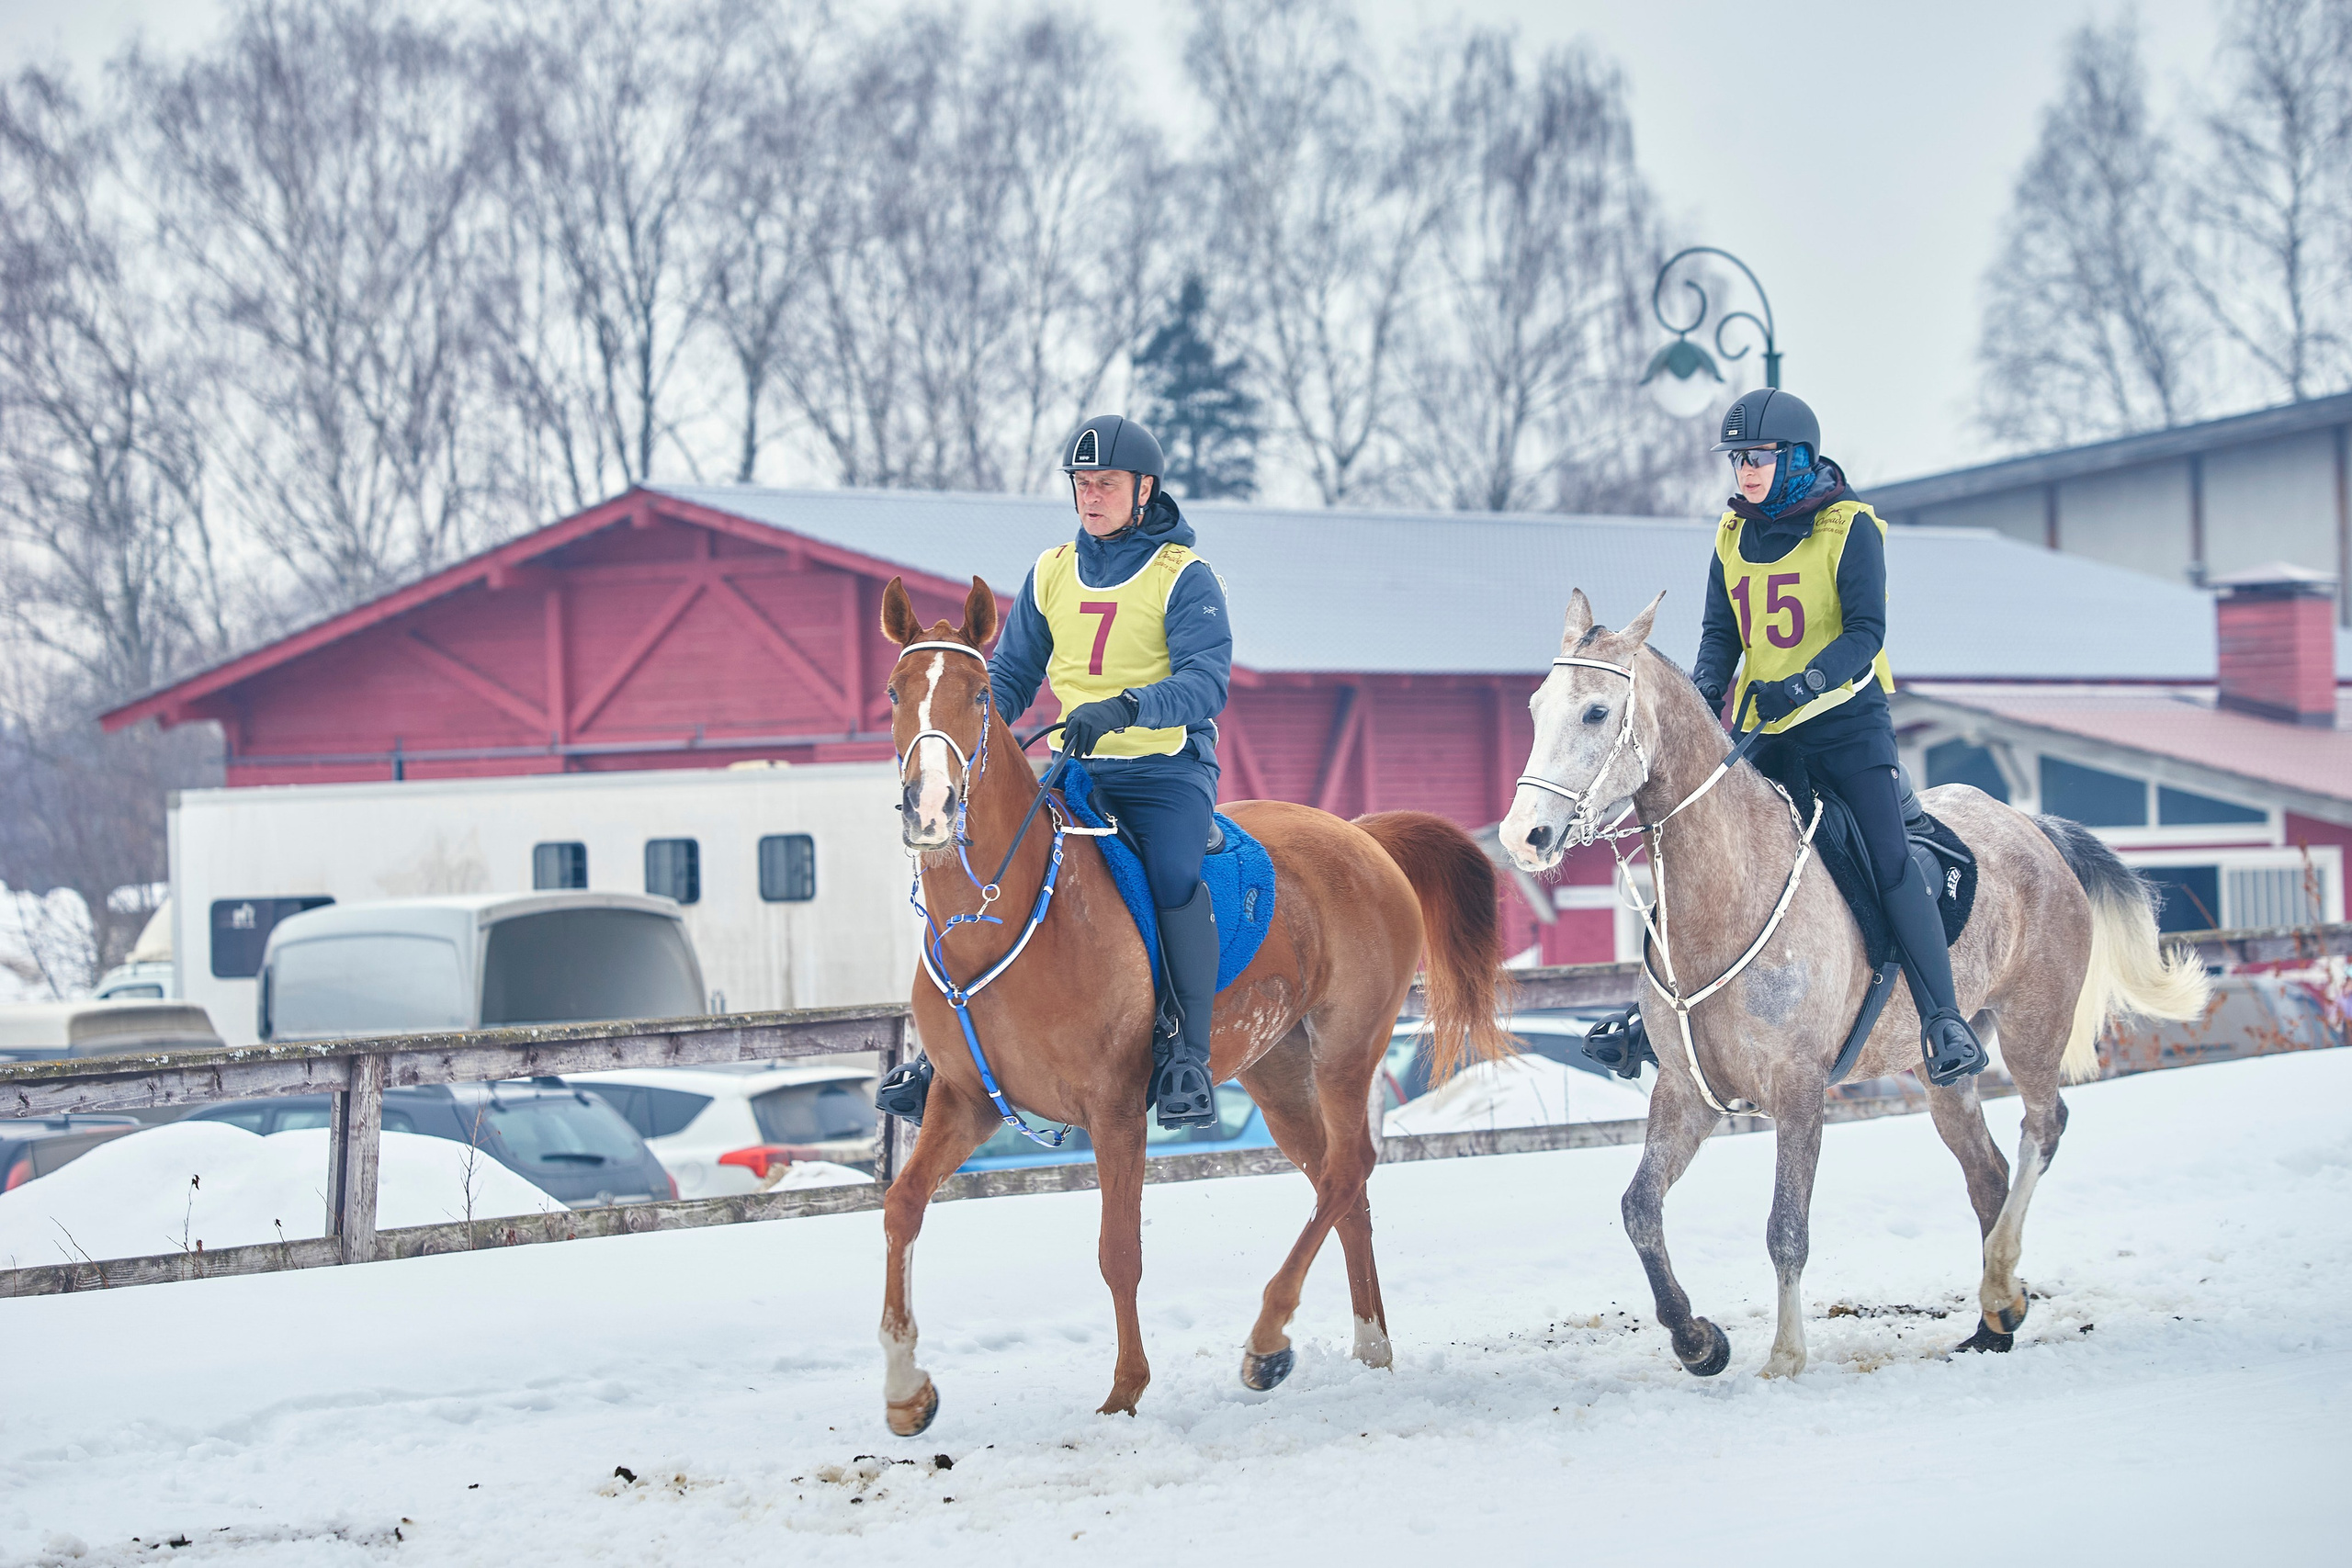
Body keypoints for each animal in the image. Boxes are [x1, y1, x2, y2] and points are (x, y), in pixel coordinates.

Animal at [874, 575, 1515, 1433]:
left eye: (977, 696)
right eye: (895, 691)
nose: (931, 807)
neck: (999, 918)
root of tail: (1362, 835)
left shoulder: (1114, 1108)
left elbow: (1119, 1251)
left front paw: (1125, 1389)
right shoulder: (966, 1099)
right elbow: (902, 1205)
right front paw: (906, 1389)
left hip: (1346, 1051)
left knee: (1349, 1167)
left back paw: (1268, 1337)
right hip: (1279, 1071)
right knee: (1339, 1184)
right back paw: (1369, 1345)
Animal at [1499, 589, 2209, 1378]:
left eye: (1596, 711)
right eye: (1535, 707)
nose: (1522, 836)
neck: (1724, 892)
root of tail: (2035, 827)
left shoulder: (1799, 1089)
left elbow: (1786, 1226)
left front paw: (1784, 1356)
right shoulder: (1686, 1091)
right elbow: (1639, 1209)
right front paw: (1698, 1340)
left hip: (2034, 1023)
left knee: (2042, 1129)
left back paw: (2001, 1282)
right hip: (1947, 1071)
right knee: (1987, 1170)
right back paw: (1994, 1319)